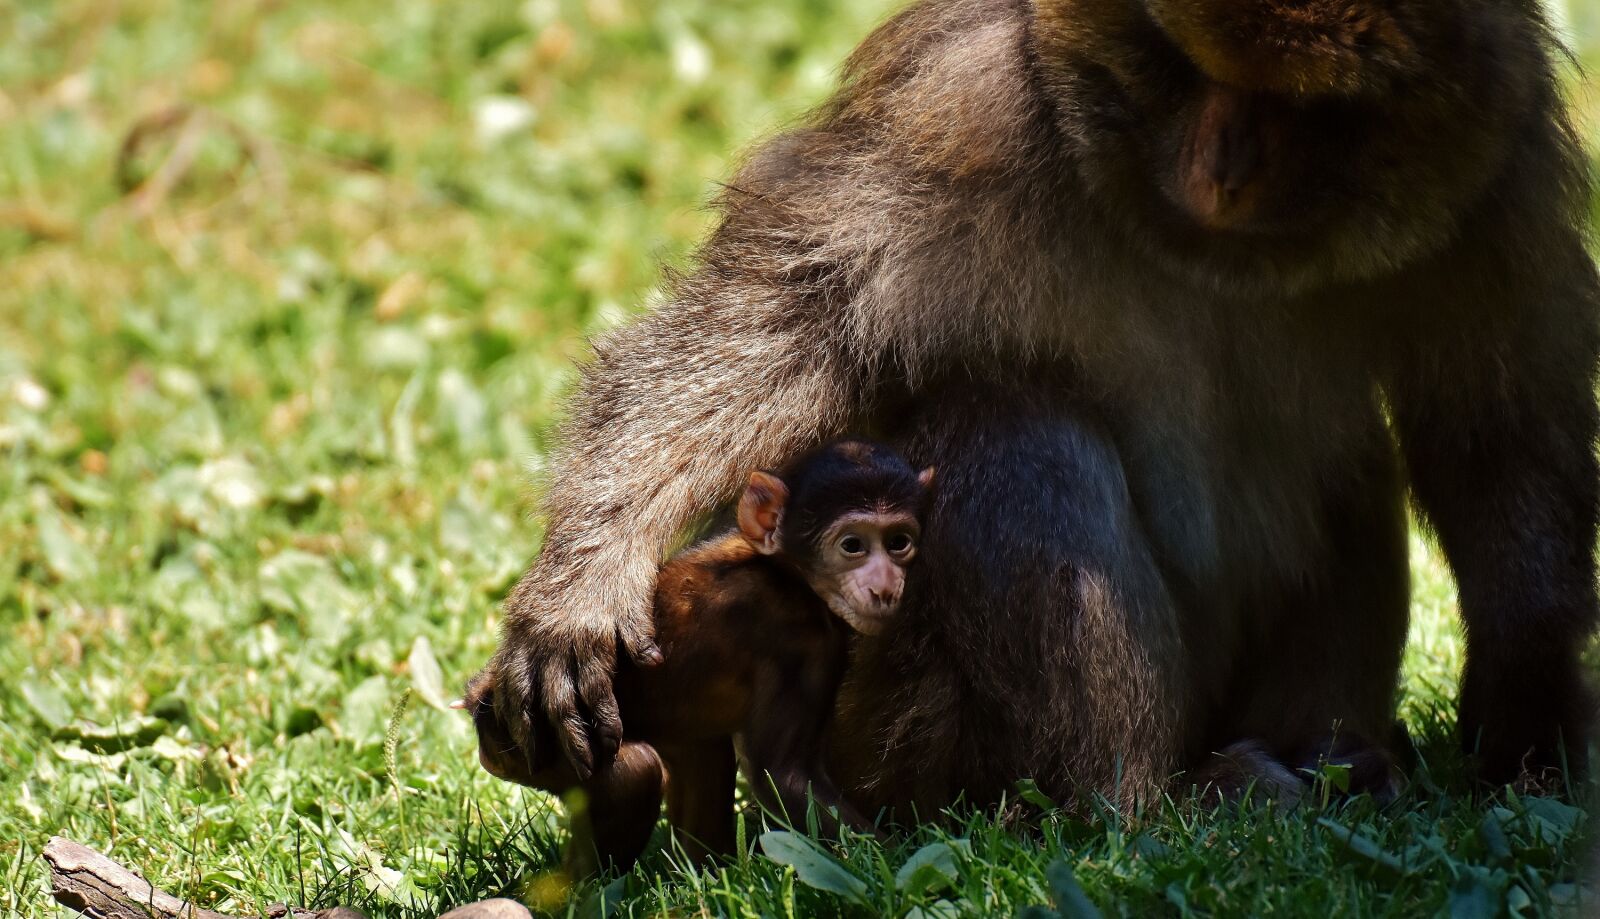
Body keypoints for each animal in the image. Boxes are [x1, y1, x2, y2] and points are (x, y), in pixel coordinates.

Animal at [464, 440, 934, 872]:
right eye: (852, 546)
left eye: (899, 542)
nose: (885, 587)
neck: (785, 572)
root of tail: (482, 698)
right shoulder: (801, 643)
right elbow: (783, 775)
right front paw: (905, 862)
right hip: (531, 741)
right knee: (635, 776)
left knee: (701, 754)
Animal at [484, 0, 1600, 816]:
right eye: (1184, 70)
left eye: (1311, 109)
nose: (1222, 166)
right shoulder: (957, 109)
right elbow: (780, 328)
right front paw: (583, 582)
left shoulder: (1494, 147)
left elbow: (1496, 421)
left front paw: (1529, 694)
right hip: (887, 733)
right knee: (1016, 429)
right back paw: (1139, 810)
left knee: (1345, 466)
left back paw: (1320, 766)